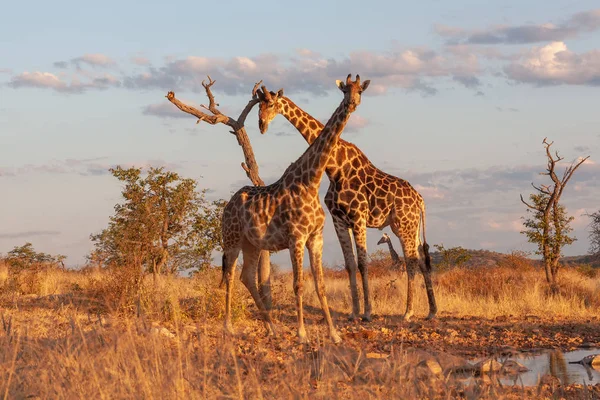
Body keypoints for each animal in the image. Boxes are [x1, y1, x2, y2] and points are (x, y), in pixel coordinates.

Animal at [221, 73, 370, 342]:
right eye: (345, 90)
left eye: (359, 91)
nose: (352, 103)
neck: (312, 181)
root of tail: (227, 206)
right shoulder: (296, 237)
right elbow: (299, 284)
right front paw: (302, 333)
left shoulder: (316, 237)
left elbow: (320, 285)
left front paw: (334, 334)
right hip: (232, 238)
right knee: (229, 275)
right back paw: (228, 326)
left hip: (252, 244)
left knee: (246, 276)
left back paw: (272, 328)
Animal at [255, 86, 438, 320]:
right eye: (258, 105)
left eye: (270, 104)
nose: (262, 125)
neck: (335, 166)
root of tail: (420, 200)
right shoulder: (339, 220)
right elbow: (350, 264)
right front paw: (353, 312)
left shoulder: (358, 217)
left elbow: (362, 263)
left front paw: (367, 312)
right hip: (410, 227)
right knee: (423, 260)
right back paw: (431, 311)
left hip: (404, 225)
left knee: (412, 261)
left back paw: (408, 312)